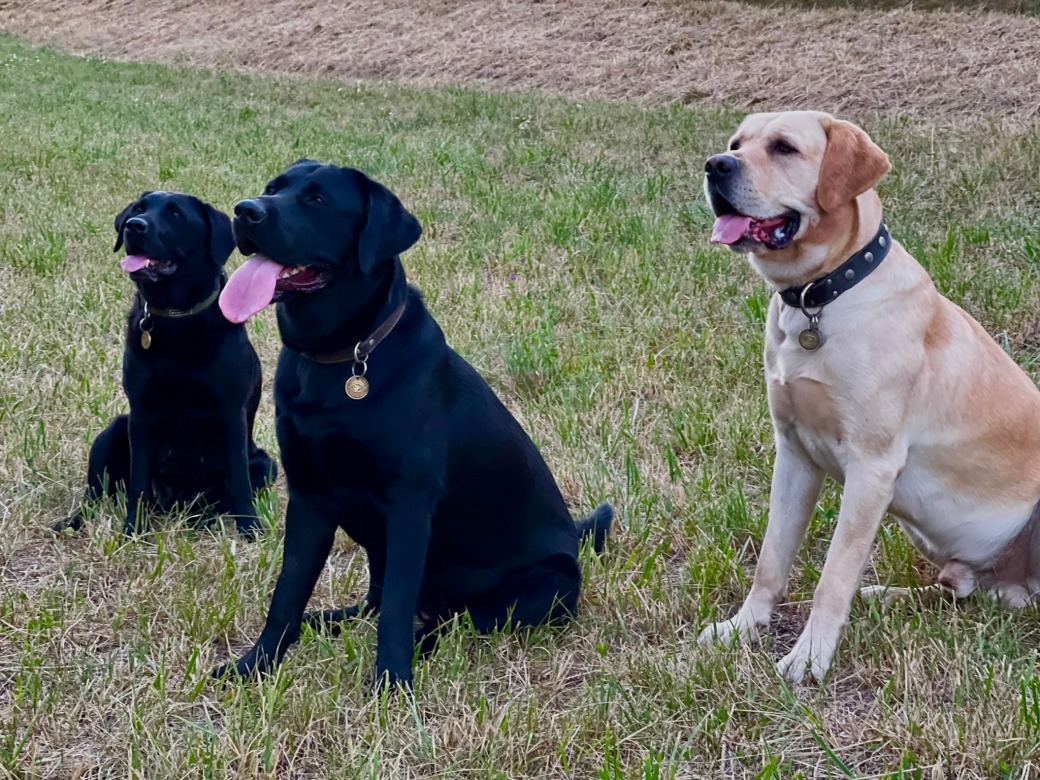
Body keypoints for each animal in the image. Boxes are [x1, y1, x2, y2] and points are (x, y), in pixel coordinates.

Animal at [55, 192, 276, 540]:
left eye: (175, 215)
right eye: (139, 209)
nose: (134, 226)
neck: (177, 320)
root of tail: (174, 502)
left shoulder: (232, 414)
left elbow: (239, 480)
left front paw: (250, 528)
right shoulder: (140, 413)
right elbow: (138, 483)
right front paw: (133, 529)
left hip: (266, 465)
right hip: (113, 430)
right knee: (94, 496)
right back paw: (74, 521)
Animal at [215, 160, 611, 690]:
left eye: (317, 200)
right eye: (272, 188)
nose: (245, 211)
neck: (343, 358)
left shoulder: (408, 505)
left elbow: (397, 612)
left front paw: (390, 683)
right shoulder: (309, 497)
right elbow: (288, 594)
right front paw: (255, 663)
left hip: (544, 585)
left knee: (449, 619)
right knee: (379, 602)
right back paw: (326, 621)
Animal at [694, 110, 1040, 682]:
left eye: (784, 147)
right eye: (736, 144)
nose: (715, 165)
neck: (818, 299)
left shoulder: (872, 468)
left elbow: (833, 576)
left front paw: (809, 658)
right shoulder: (793, 452)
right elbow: (771, 560)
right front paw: (742, 628)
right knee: (964, 591)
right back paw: (884, 596)